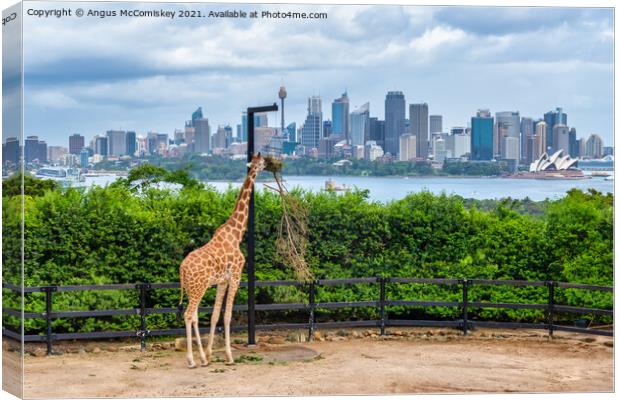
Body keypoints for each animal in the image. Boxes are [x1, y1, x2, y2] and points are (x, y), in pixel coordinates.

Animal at [179, 153, 266, 368]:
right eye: (262, 161)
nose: (268, 164)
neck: (236, 234)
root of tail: (182, 269)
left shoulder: (222, 281)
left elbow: (214, 315)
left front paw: (210, 354)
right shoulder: (236, 276)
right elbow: (227, 316)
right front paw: (229, 356)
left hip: (192, 288)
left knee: (194, 316)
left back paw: (202, 358)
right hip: (199, 287)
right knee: (188, 315)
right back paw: (192, 360)